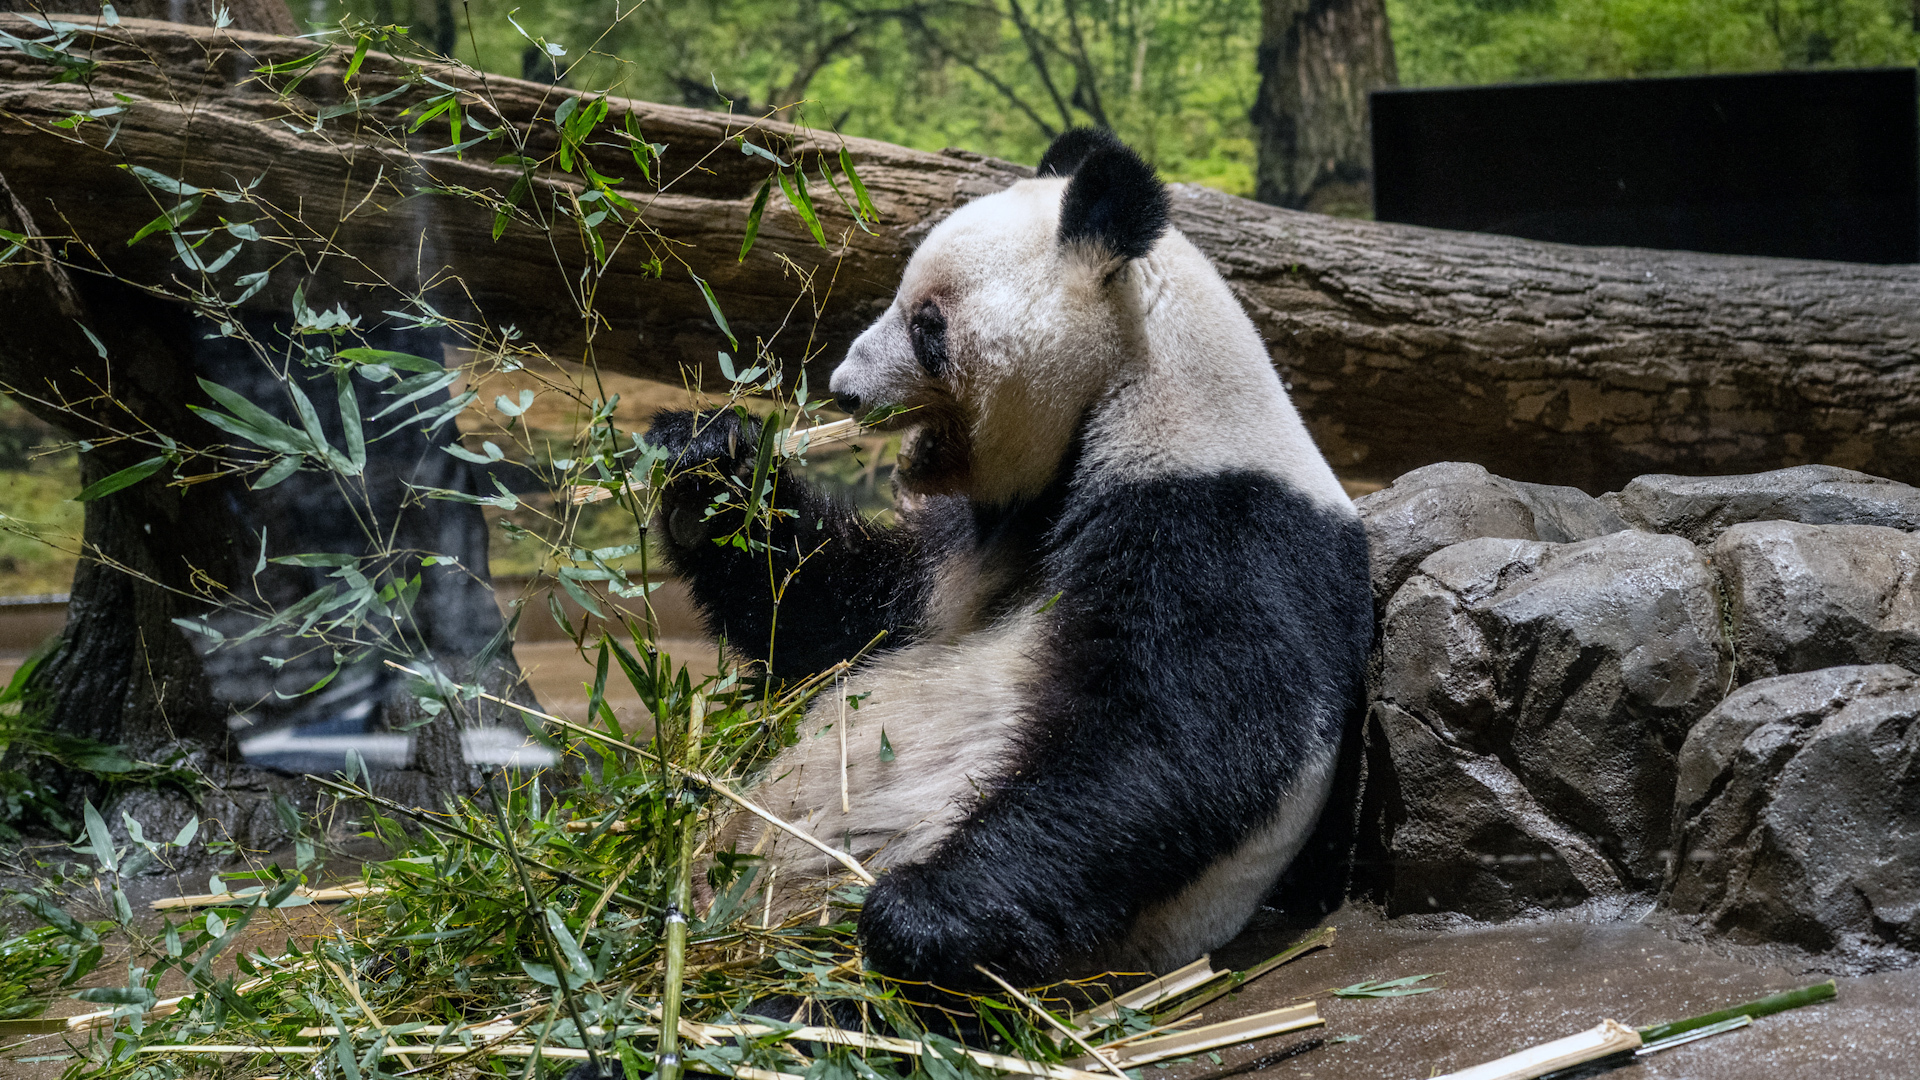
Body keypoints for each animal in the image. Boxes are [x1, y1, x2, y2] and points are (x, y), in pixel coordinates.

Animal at [643, 128, 1372, 990]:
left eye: (927, 323)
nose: (844, 389)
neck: (1128, 391)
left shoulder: (1222, 524)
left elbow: (1182, 741)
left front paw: (919, 914)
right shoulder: (970, 545)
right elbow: (838, 618)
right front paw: (705, 464)